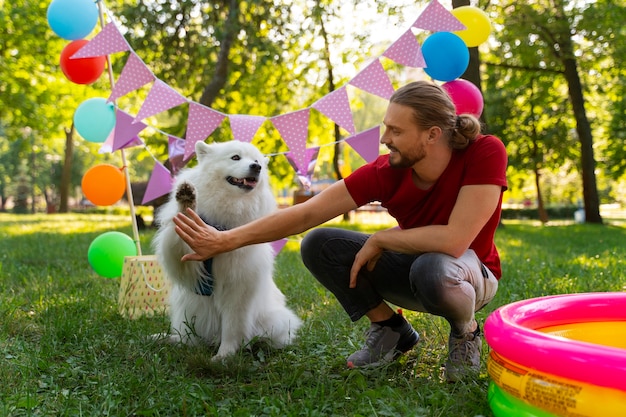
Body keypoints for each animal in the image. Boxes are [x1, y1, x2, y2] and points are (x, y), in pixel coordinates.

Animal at [155, 141, 302, 360]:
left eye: (256, 161)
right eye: (235, 157)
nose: (257, 167)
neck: (222, 223)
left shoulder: (237, 289)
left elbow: (232, 327)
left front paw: (224, 356)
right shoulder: (184, 259)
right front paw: (187, 200)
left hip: (276, 320)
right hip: (185, 309)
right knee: (186, 337)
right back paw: (167, 339)